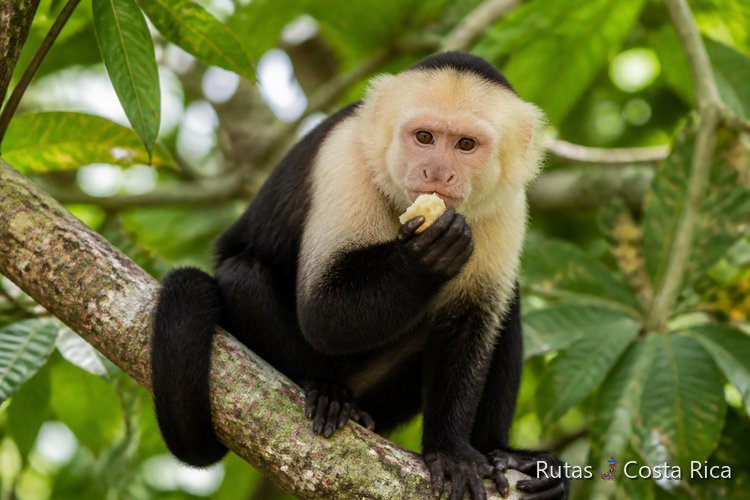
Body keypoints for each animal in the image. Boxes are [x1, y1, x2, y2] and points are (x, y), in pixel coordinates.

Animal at [152, 51, 569, 500]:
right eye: (424, 137)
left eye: (466, 145)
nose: (437, 173)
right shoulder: (344, 158)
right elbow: (325, 315)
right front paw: (426, 256)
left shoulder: (508, 204)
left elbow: (469, 322)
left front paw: (451, 450)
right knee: (242, 275)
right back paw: (327, 391)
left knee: (506, 308)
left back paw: (502, 452)